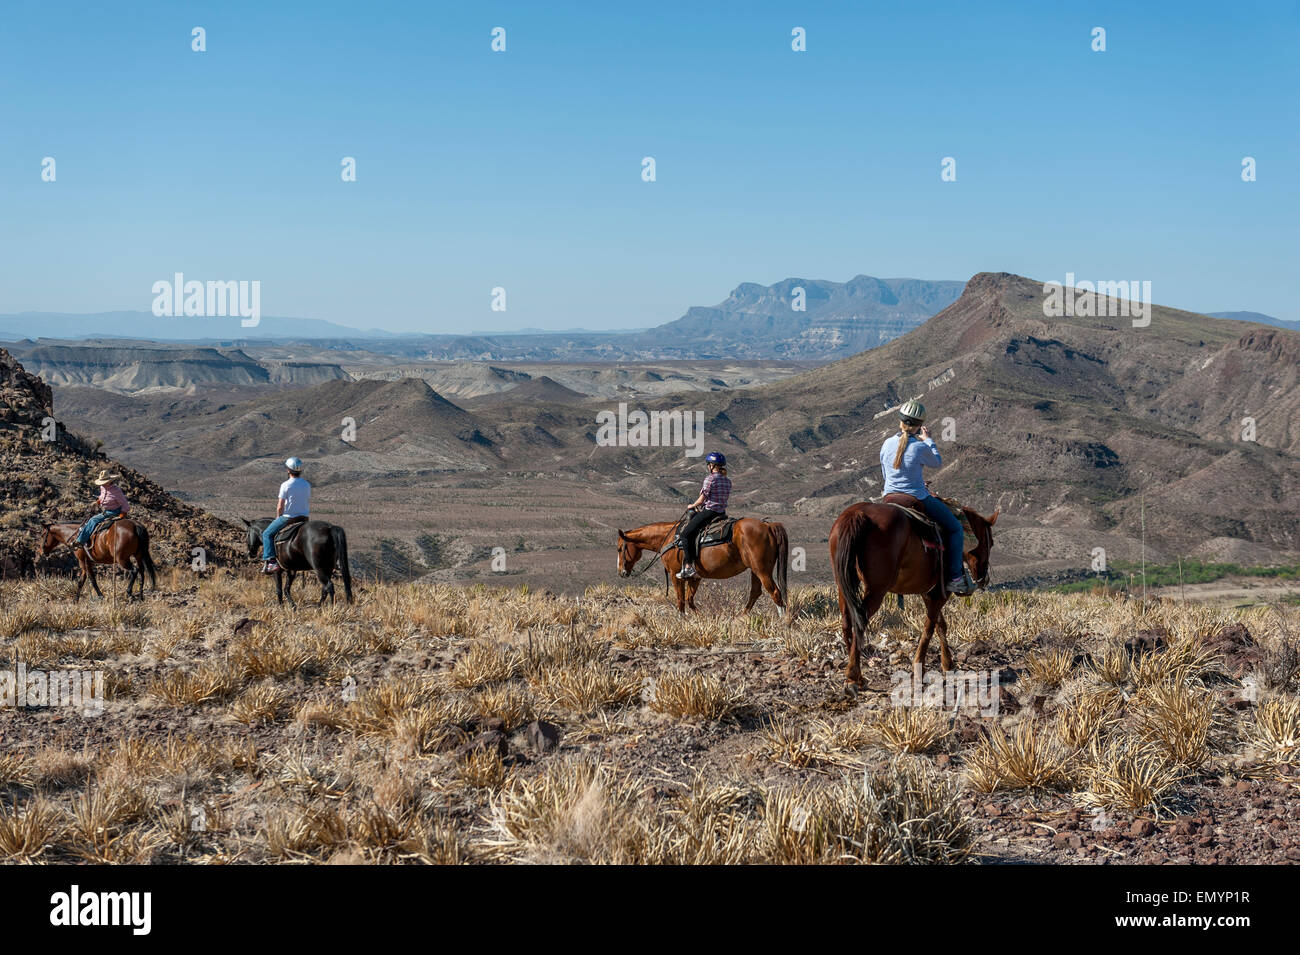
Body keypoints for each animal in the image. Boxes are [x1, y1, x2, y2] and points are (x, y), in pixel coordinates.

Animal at [618, 514, 790, 621]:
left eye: (620, 549)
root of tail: (768, 526)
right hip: (755, 570)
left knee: (774, 592)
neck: (669, 538)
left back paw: (783, 621)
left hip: (762, 570)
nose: (621, 572)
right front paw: (702, 618)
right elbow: (690, 600)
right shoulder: (695, 577)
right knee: (755, 592)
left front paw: (681, 620)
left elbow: (681, 599)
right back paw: (741, 618)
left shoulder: (675, 574)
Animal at [826, 501, 998, 686]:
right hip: (877, 589)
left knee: (846, 620)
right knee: (860, 621)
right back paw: (855, 674)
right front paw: (919, 667)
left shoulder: (927, 592)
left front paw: (947, 663)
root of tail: (858, 514)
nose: (984, 578)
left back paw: (853, 667)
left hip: (843, 584)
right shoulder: (941, 593)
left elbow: (940, 625)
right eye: (991, 542)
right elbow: (929, 627)